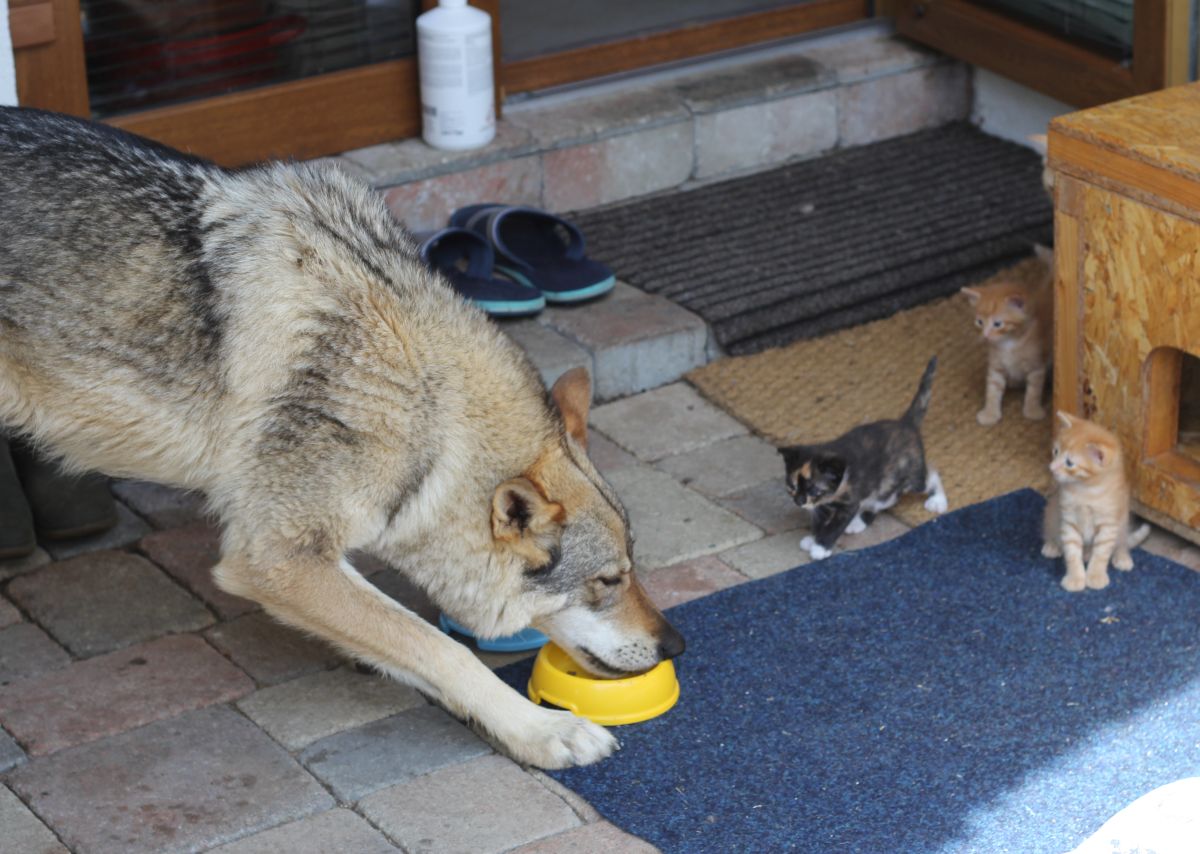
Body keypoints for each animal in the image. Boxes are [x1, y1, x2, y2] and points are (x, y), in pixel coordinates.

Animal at [0, 106, 686, 767]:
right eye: (609, 582)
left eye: (632, 572)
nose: (675, 643)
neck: (422, 397)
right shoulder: (275, 558)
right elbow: (440, 647)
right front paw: (540, 731)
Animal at [777, 352, 945, 561]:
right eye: (792, 487)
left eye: (814, 490)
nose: (799, 502)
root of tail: (906, 424)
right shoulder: (824, 504)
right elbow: (820, 519)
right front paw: (814, 537)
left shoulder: (849, 502)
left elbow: (835, 525)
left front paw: (821, 547)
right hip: (884, 486)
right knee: (884, 500)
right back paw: (859, 522)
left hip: (910, 476)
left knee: (931, 476)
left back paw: (938, 500)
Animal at [960, 244, 1056, 427]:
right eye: (979, 322)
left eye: (998, 324)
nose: (985, 335)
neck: (1009, 344)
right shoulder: (995, 366)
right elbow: (992, 390)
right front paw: (990, 413)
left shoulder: (1036, 366)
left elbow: (1034, 390)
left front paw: (1033, 410)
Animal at [1041, 412, 1152, 594]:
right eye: (1055, 451)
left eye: (1069, 463)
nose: (1051, 468)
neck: (1087, 490)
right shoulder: (1068, 521)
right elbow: (1072, 552)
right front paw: (1075, 578)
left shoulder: (1109, 524)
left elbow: (1101, 553)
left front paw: (1096, 576)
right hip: (1051, 513)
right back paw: (1052, 546)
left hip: (1123, 520)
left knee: (1122, 541)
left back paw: (1122, 556)